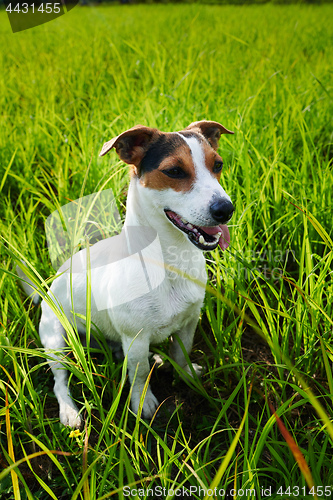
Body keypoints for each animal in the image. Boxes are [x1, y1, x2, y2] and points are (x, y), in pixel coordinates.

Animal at [19, 120, 232, 426]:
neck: (169, 262)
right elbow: (140, 375)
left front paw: (187, 376)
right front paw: (143, 403)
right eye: (174, 171)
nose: (226, 209)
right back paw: (69, 411)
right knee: (60, 380)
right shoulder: (135, 337)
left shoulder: (188, 322)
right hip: (55, 340)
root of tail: (46, 290)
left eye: (218, 165)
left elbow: (181, 355)